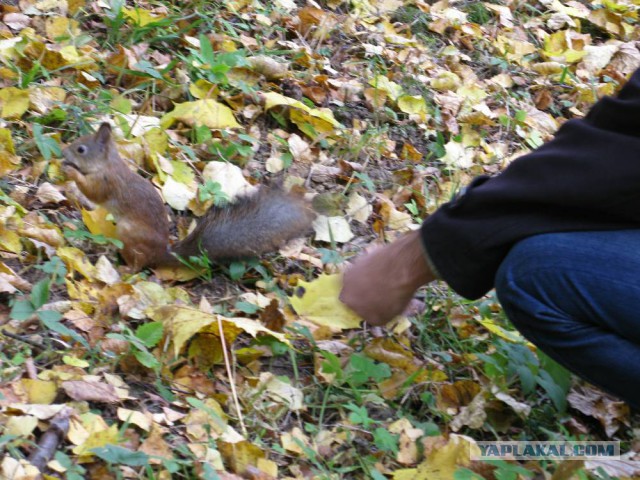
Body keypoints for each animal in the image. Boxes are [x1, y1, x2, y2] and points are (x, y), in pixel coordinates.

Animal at [61, 122, 316, 272]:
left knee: (138, 265)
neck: (108, 164)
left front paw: (70, 171)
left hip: (129, 235)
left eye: (81, 149)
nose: (64, 152)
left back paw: (124, 268)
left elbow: (93, 192)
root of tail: (161, 254)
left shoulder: (107, 183)